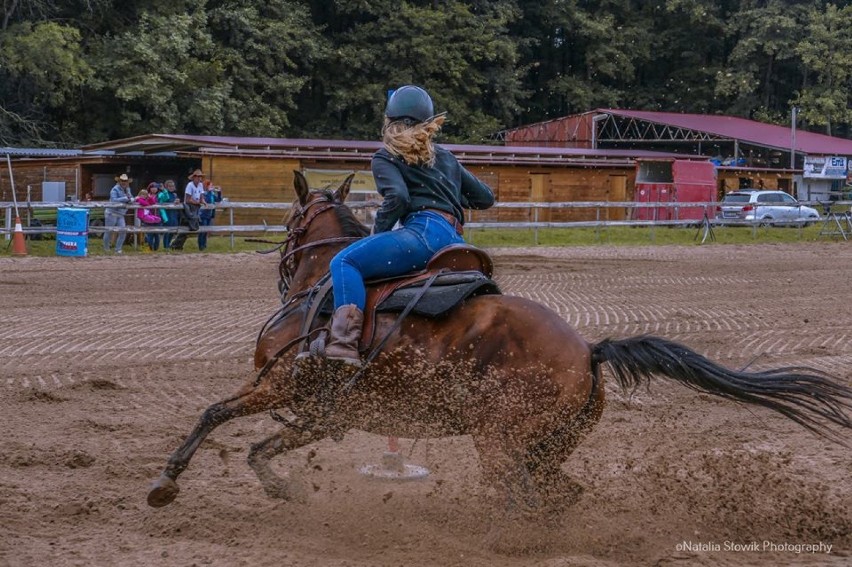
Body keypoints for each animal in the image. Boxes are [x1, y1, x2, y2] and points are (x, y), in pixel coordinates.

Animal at [148, 171, 852, 512]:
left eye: (294, 221)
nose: (279, 257)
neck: (322, 284)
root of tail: (589, 351)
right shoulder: (326, 414)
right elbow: (260, 449)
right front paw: (281, 487)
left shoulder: (275, 385)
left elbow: (213, 414)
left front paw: (167, 480)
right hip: (543, 448)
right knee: (556, 496)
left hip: (501, 443)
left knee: (523, 500)